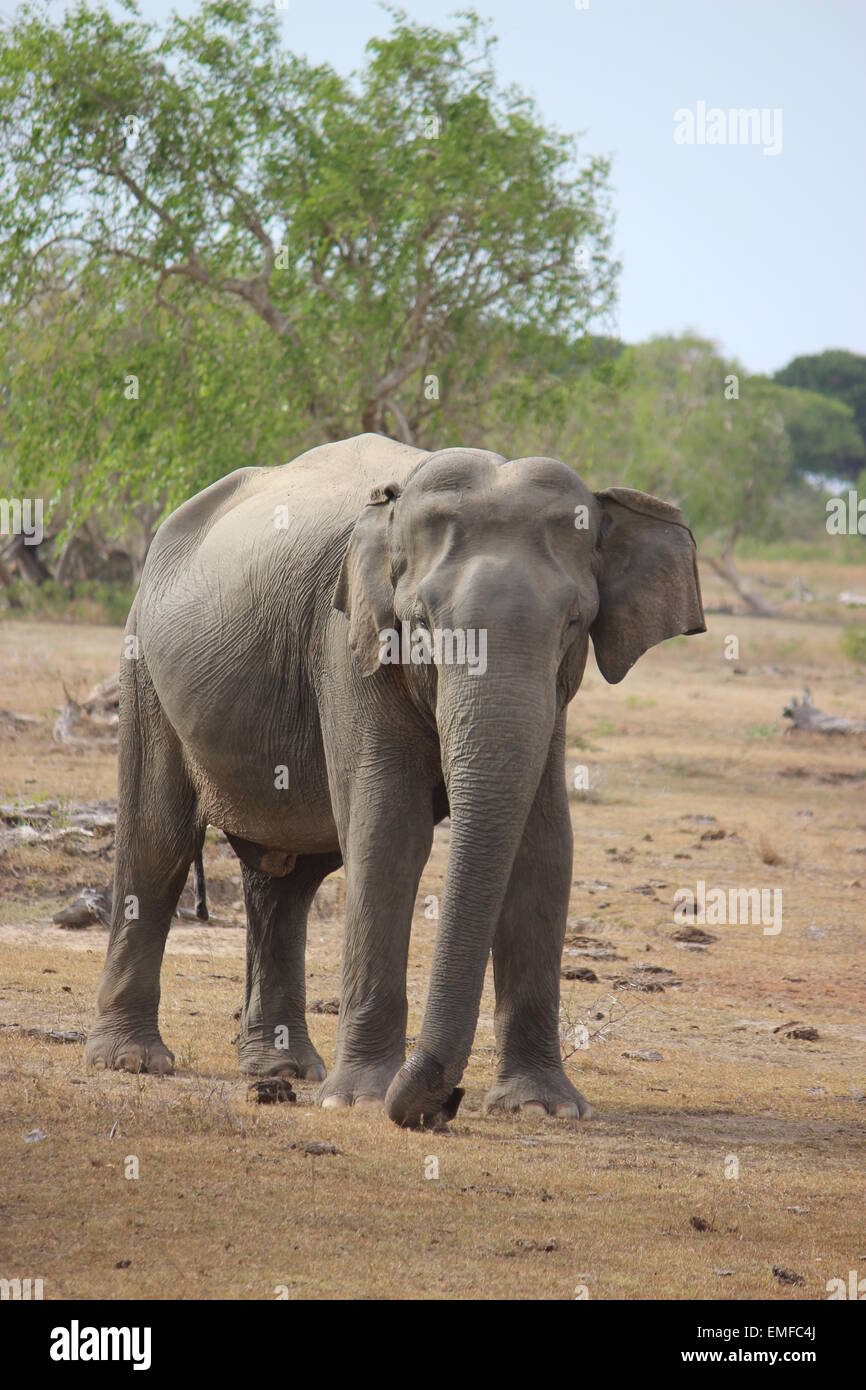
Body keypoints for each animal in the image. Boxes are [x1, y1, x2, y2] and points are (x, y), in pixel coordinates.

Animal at [83, 433, 706, 1128]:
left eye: (573, 623)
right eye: (423, 624)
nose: (444, 1104)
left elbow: (543, 848)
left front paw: (543, 1108)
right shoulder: (345, 645)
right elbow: (388, 830)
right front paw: (360, 1099)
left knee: (285, 882)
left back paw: (283, 1071)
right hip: (142, 665)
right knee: (157, 844)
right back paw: (132, 1061)